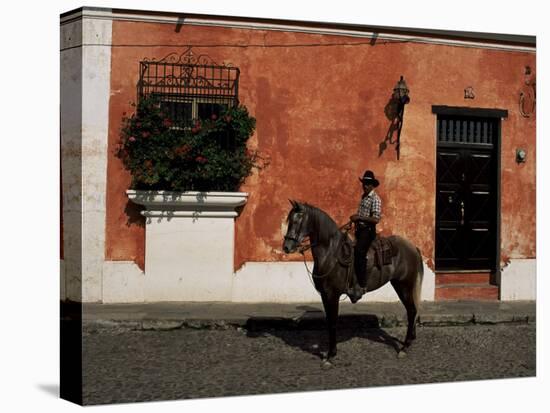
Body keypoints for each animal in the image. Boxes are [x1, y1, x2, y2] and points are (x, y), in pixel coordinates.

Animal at [282, 200, 424, 364]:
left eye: (297, 221)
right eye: (289, 220)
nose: (286, 247)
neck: (331, 254)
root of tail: (412, 247)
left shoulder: (332, 294)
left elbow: (333, 322)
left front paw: (331, 355)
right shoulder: (324, 294)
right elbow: (328, 321)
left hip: (404, 285)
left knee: (412, 310)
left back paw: (404, 347)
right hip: (399, 285)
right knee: (411, 310)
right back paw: (410, 339)